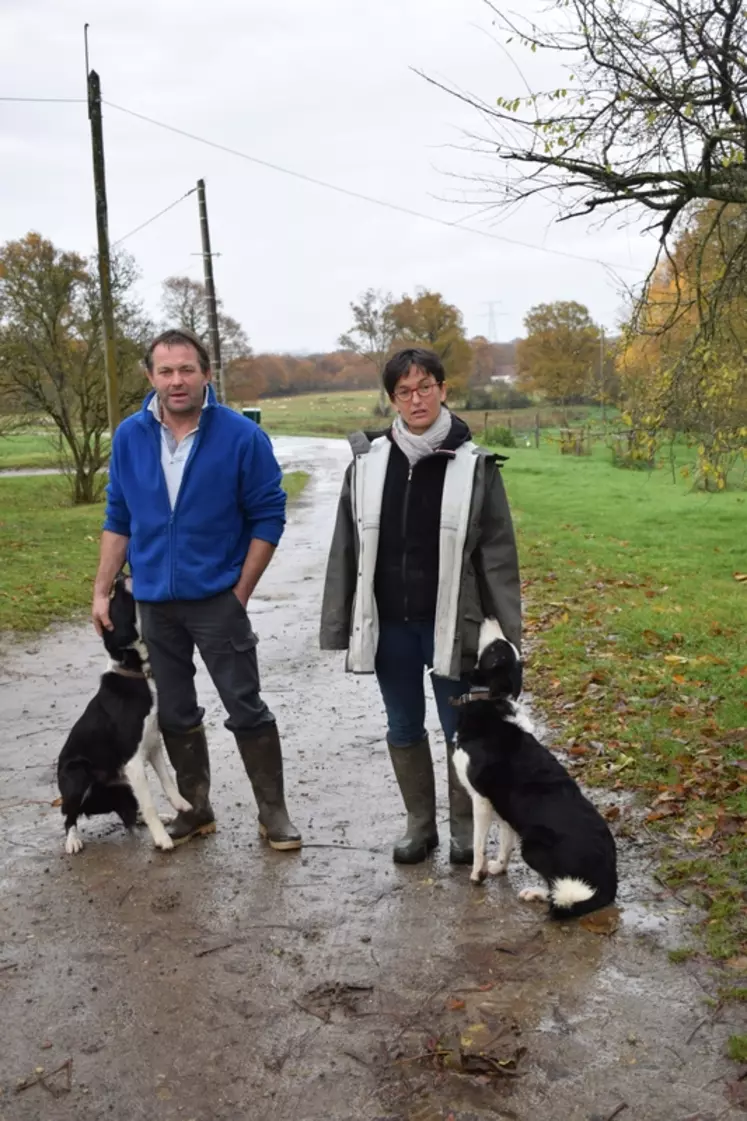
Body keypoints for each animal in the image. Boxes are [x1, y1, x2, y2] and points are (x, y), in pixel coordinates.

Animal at [55, 573, 189, 851]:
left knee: (131, 812)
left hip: (124, 787)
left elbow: (167, 780)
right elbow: (149, 804)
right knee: (68, 816)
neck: (135, 673)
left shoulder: (153, 744)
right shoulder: (133, 762)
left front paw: (181, 804)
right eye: (115, 599)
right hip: (77, 776)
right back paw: (72, 841)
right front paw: (162, 839)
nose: (119, 576)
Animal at [448, 623, 614, 919]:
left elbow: (479, 844)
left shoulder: (481, 799)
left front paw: (477, 875)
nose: (488, 616)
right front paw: (499, 867)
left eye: (496, 649)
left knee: (556, 890)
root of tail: (609, 881)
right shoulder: (503, 805)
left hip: (533, 846)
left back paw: (534, 893)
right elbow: (505, 841)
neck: (490, 704)